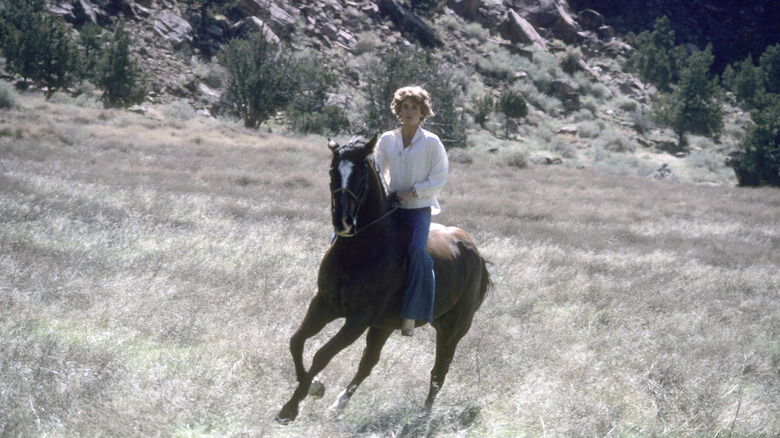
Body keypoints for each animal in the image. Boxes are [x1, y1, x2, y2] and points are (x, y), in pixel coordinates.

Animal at [278, 136, 490, 424]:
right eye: (332, 172)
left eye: (360, 174)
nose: (342, 221)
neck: (361, 250)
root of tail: (473, 252)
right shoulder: (323, 305)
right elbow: (296, 341)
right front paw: (313, 387)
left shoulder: (359, 318)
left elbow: (322, 354)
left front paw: (290, 407)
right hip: (384, 326)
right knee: (369, 363)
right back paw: (339, 405)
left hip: (452, 330)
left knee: (439, 371)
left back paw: (422, 416)